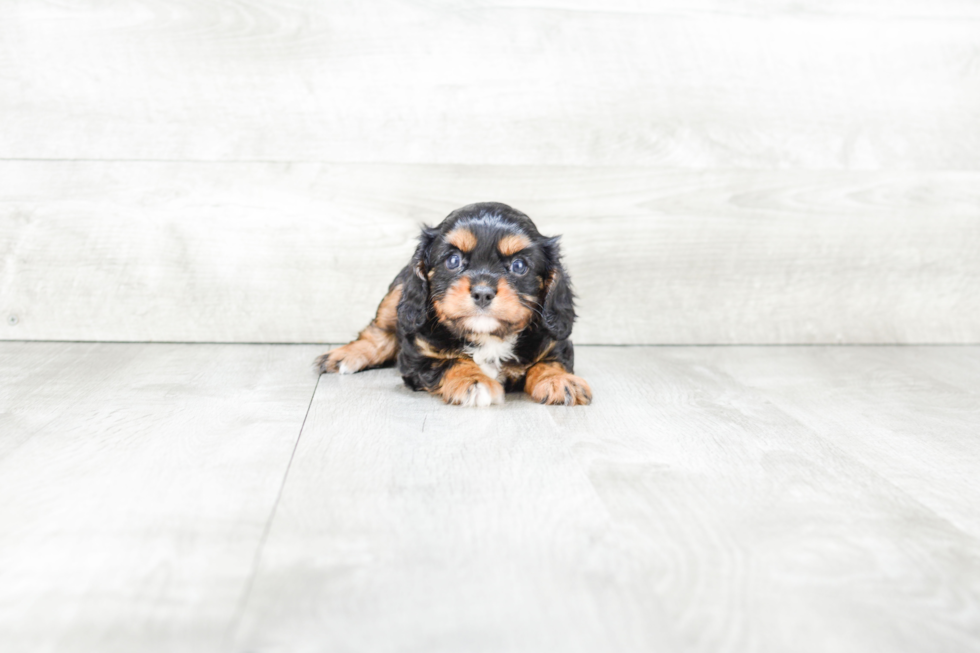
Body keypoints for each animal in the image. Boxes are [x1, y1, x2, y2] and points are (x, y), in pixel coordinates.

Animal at [316, 201, 588, 404]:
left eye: (519, 266)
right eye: (453, 260)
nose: (482, 293)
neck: (487, 337)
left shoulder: (556, 343)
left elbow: (549, 362)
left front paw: (558, 381)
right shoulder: (418, 355)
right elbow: (452, 361)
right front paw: (474, 381)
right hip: (398, 294)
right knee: (379, 332)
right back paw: (345, 356)